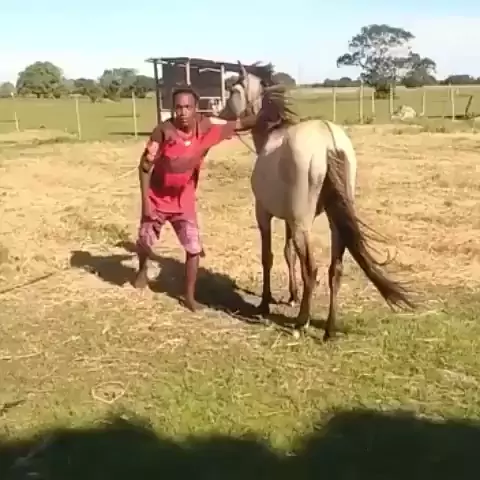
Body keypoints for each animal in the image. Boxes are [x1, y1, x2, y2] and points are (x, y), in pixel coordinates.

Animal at [219, 62, 414, 341]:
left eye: (234, 90)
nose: (222, 116)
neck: (271, 136)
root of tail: (329, 141)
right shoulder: (289, 220)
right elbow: (289, 254)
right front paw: (292, 295)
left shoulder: (264, 214)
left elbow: (269, 257)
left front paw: (266, 302)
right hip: (334, 223)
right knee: (335, 269)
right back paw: (329, 329)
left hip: (304, 224)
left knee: (312, 270)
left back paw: (302, 323)